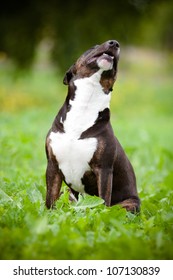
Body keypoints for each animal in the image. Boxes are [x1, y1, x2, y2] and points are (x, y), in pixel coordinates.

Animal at [45, 38, 140, 210]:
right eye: (93, 47)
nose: (115, 43)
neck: (86, 104)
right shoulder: (52, 166)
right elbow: (50, 199)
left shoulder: (104, 169)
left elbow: (102, 200)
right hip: (67, 194)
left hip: (130, 204)